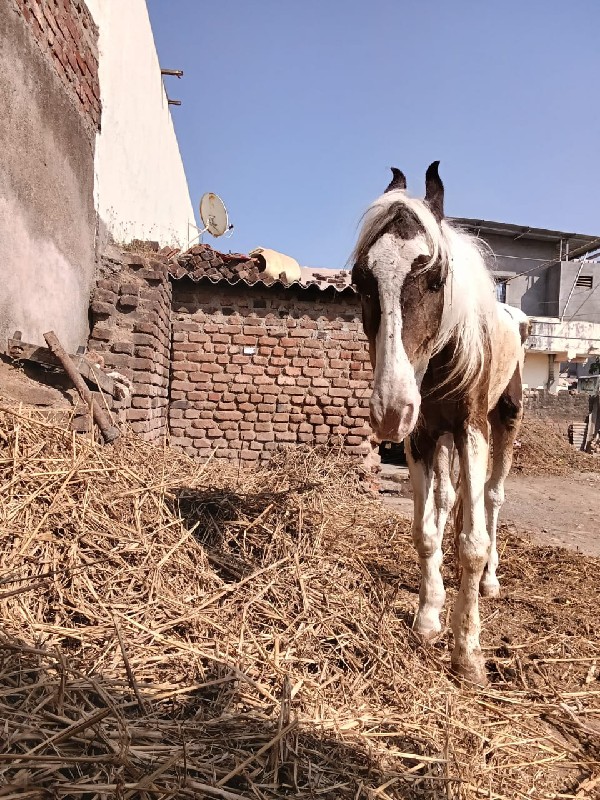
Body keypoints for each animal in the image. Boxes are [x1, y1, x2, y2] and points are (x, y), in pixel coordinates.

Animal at [352, 161, 528, 680]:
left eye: (434, 279)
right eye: (360, 281)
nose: (390, 409)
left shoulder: (472, 429)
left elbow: (473, 541)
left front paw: (467, 649)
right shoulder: (423, 437)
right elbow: (426, 531)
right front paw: (429, 617)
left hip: (504, 422)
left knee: (490, 498)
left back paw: (490, 580)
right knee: (453, 500)